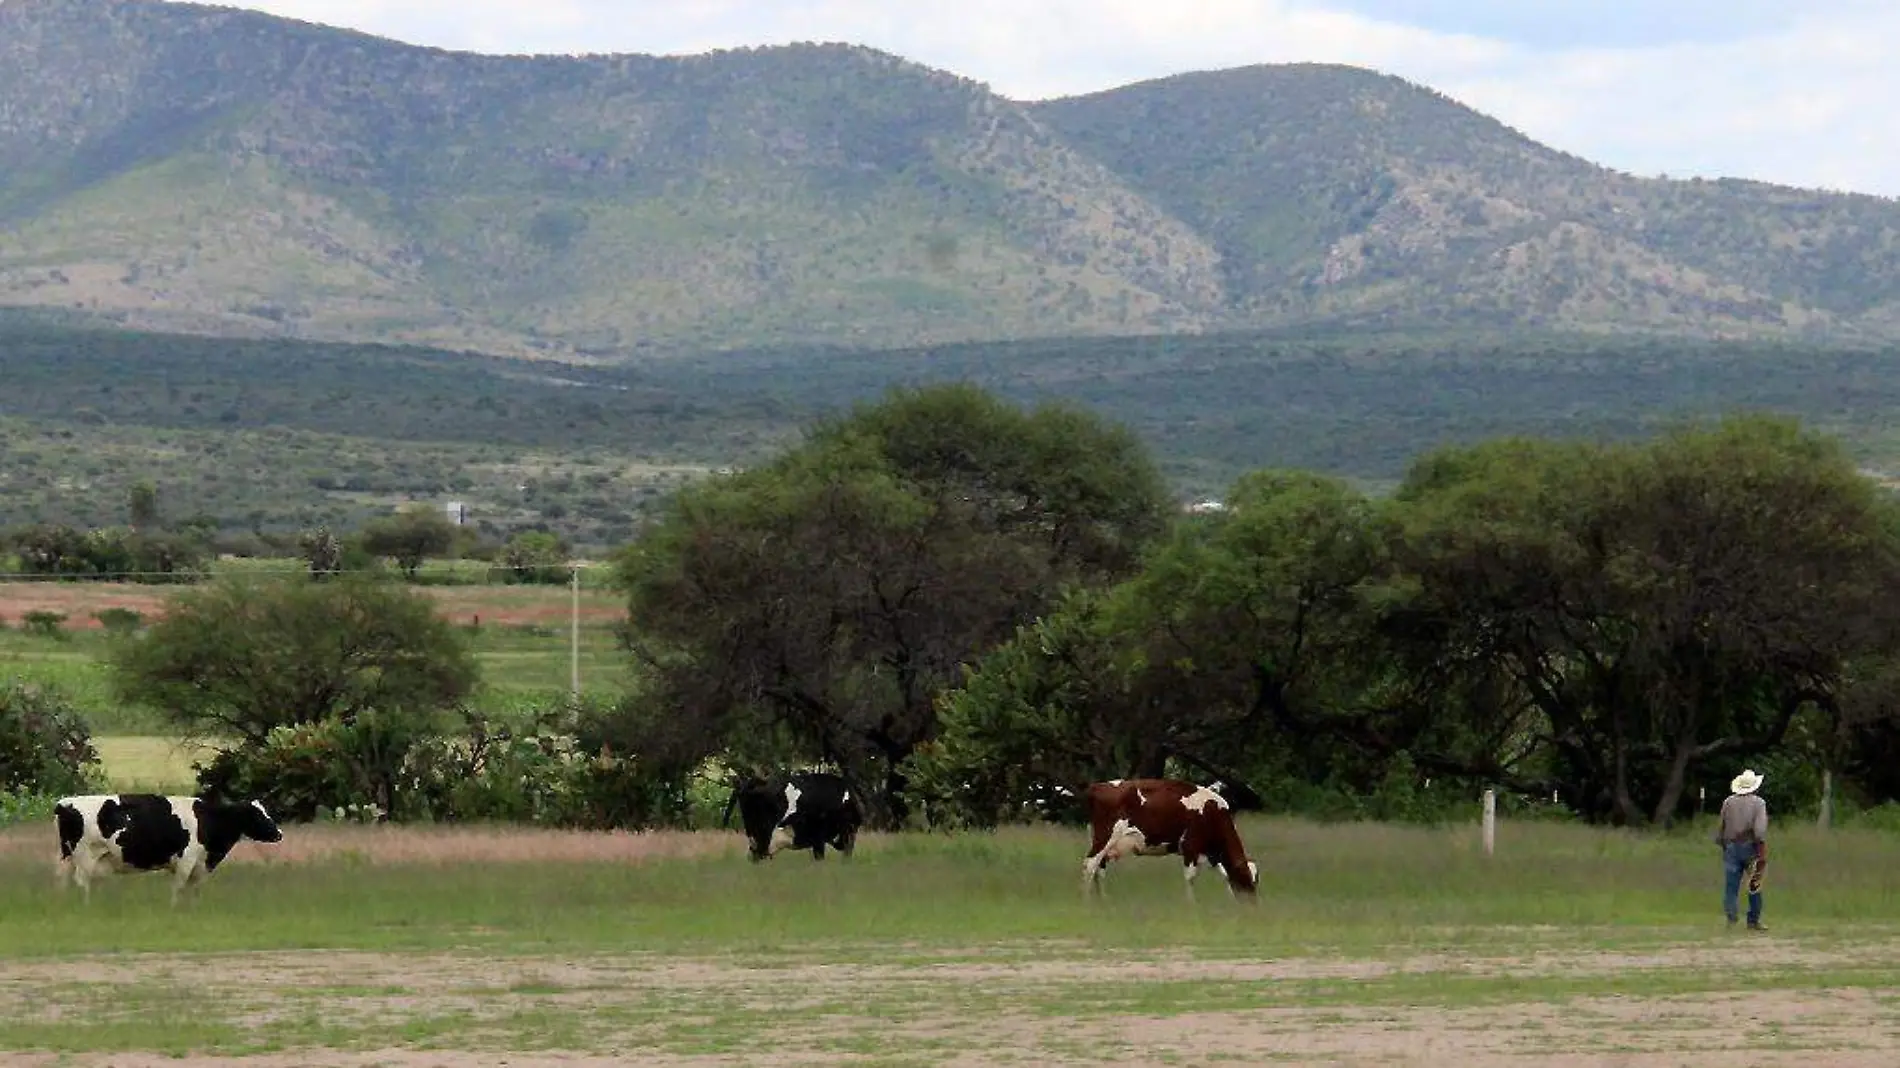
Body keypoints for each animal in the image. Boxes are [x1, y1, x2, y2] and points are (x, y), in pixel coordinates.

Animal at [54, 790, 281, 896]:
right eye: (257, 815)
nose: (279, 834)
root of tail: (65, 803)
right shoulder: (186, 859)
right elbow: (179, 888)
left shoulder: (199, 865)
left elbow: (193, 889)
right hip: (85, 856)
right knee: (81, 882)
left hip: (67, 856)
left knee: (63, 881)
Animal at [1079, 779, 1254, 893]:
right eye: (1246, 879)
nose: (1252, 907)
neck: (1213, 812)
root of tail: (1096, 787)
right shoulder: (1190, 846)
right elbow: (1190, 877)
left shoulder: (1212, 853)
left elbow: (1224, 875)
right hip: (1106, 837)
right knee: (1090, 865)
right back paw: (1088, 903)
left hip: (1098, 839)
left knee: (1099, 869)